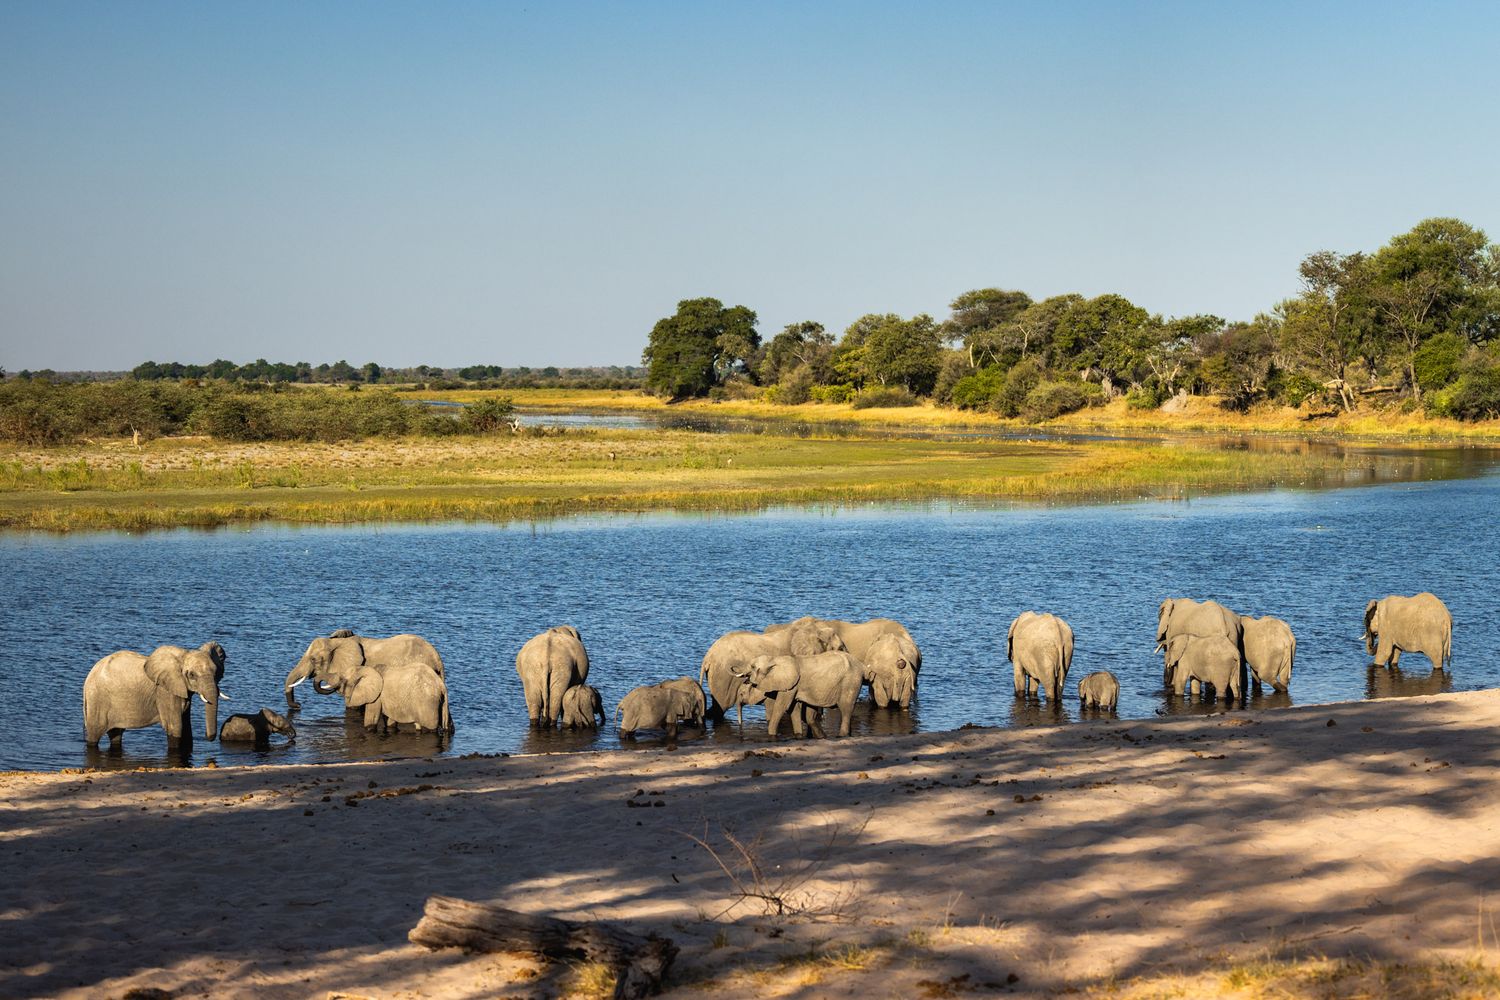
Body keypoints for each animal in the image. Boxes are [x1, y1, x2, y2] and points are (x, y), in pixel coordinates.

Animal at [84, 641, 227, 747]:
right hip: (97, 699)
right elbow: (174, 727)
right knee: (94, 735)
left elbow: (186, 728)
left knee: (116, 734)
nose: (208, 737)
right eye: (191, 675)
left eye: (216, 672)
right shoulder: (165, 691)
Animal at [734, 651, 865, 738]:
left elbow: (782, 707)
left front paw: (772, 735)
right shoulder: (793, 685)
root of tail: (861, 665)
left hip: (850, 681)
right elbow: (793, 709)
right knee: (810, 716)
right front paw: (798, 735)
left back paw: (842, 736)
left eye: (753, 666)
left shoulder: (790, 685)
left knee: (846, 709)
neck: (775, 659)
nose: (740, 727)